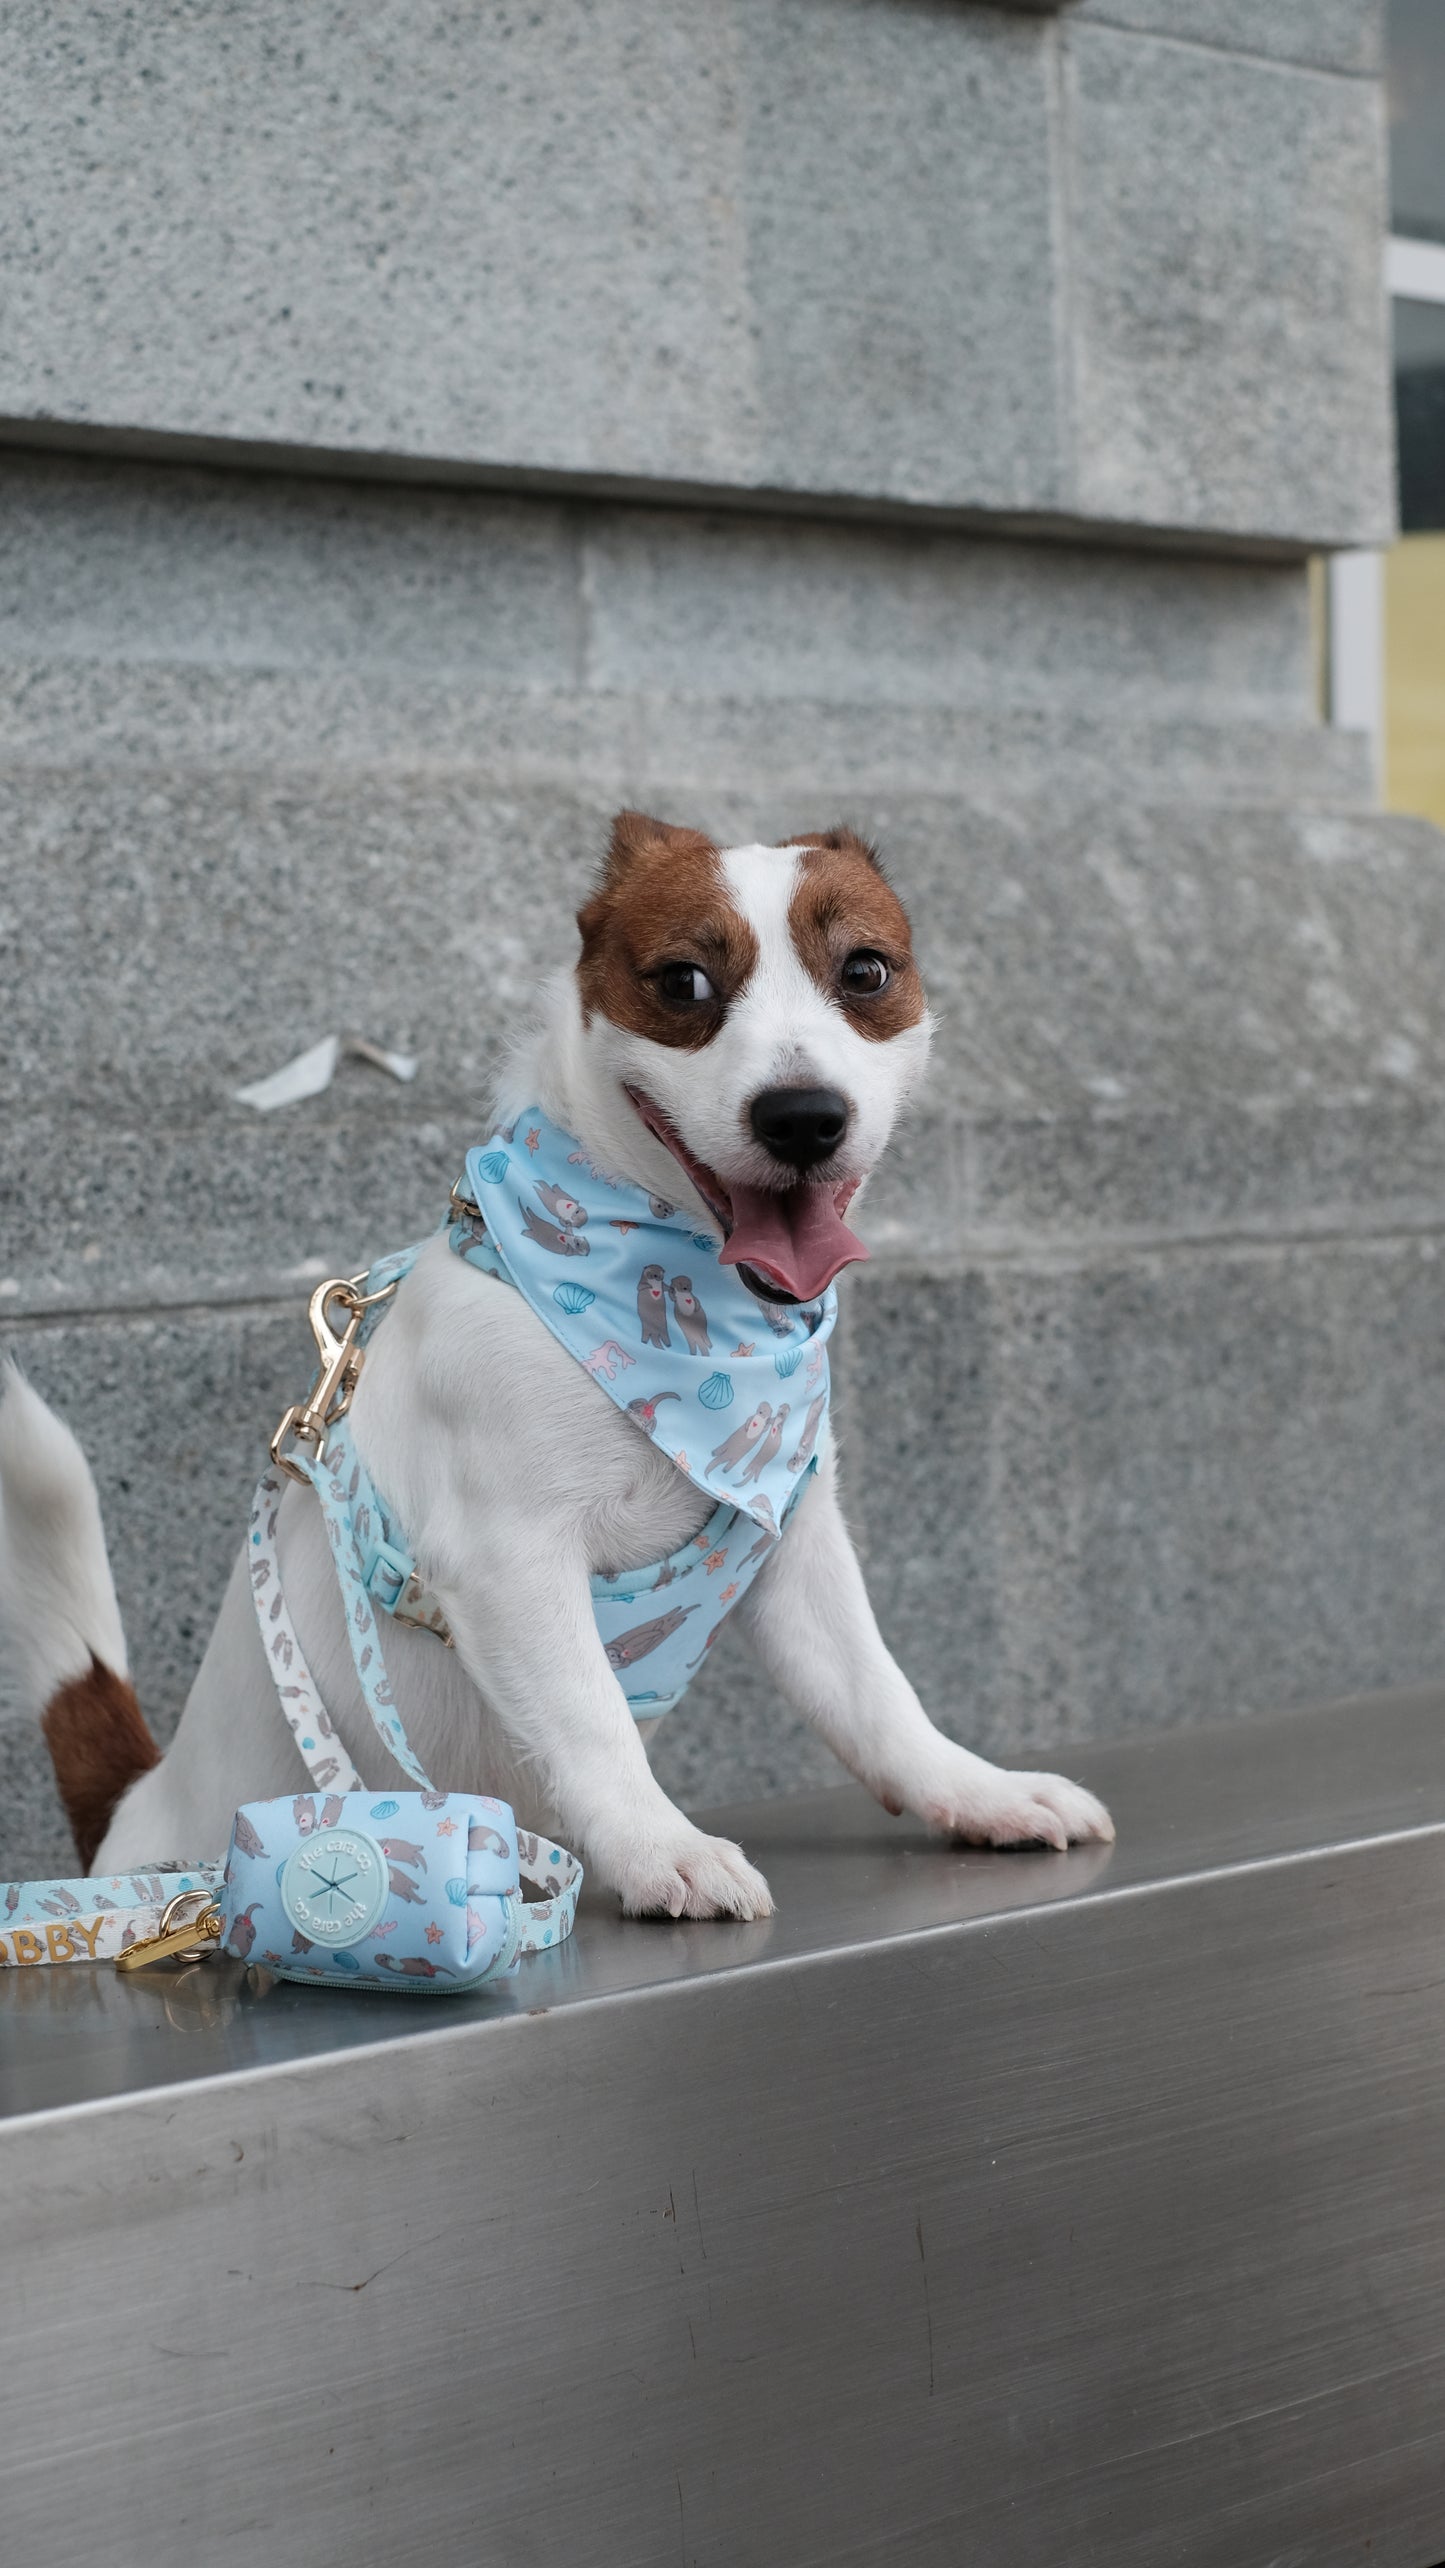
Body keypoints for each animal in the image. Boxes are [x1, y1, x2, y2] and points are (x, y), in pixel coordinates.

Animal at [0, 811, 1113, 1920]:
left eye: (866, 970)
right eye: (684, 983)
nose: (801, 1116)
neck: (684, 1328)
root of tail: (134, 1819)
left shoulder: (793, 1547)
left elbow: (877, 1695)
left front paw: (978, 1791)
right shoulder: (510, 1560)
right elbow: (590, 1721)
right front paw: (659, 1846)